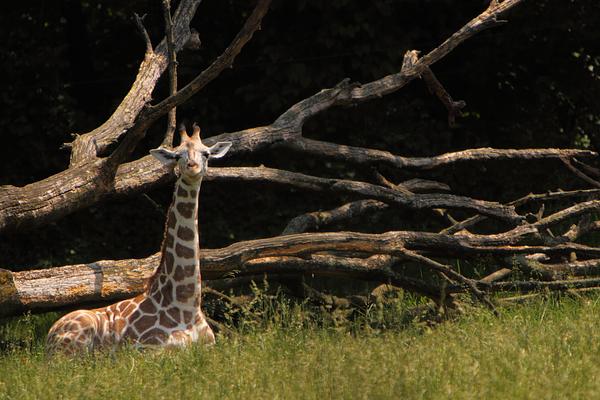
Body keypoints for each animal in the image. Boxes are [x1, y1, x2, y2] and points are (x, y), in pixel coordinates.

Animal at [45, 123, 233, 354]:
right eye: (176, 155)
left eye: (206, 153)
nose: (192, 167)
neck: (186, 304)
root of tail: (49, 335)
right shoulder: (146, 349)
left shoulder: (211, 347)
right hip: (74, 344)